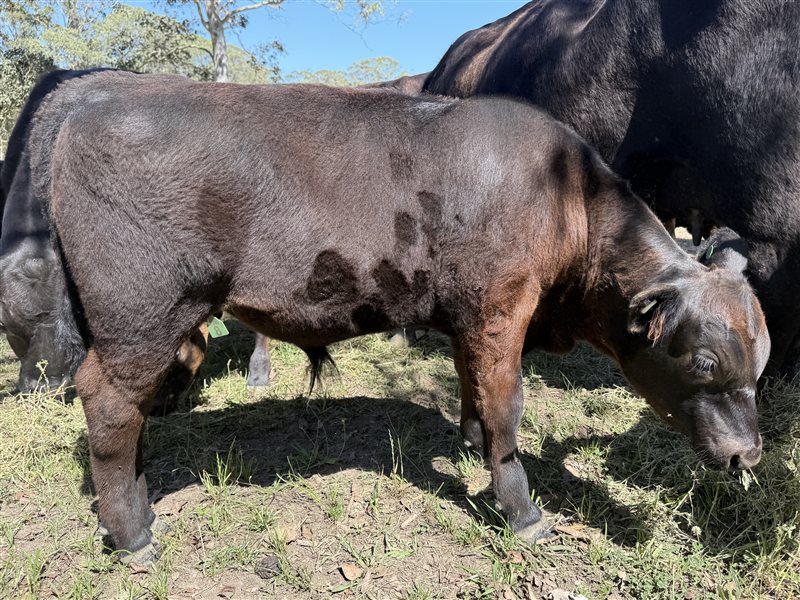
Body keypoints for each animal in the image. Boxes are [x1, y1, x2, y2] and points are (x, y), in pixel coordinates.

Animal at [29, 71, 769, 562]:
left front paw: (469, 440)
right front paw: (523, 510)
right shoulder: (501, 309)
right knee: (109, 405)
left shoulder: (472, 323)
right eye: (702, 360)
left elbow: (476, 389)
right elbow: (507, 408)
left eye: (758, 365)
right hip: (143, 319)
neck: (565, 193)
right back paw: (134, 533)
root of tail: (90, 106)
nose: (748, 455)